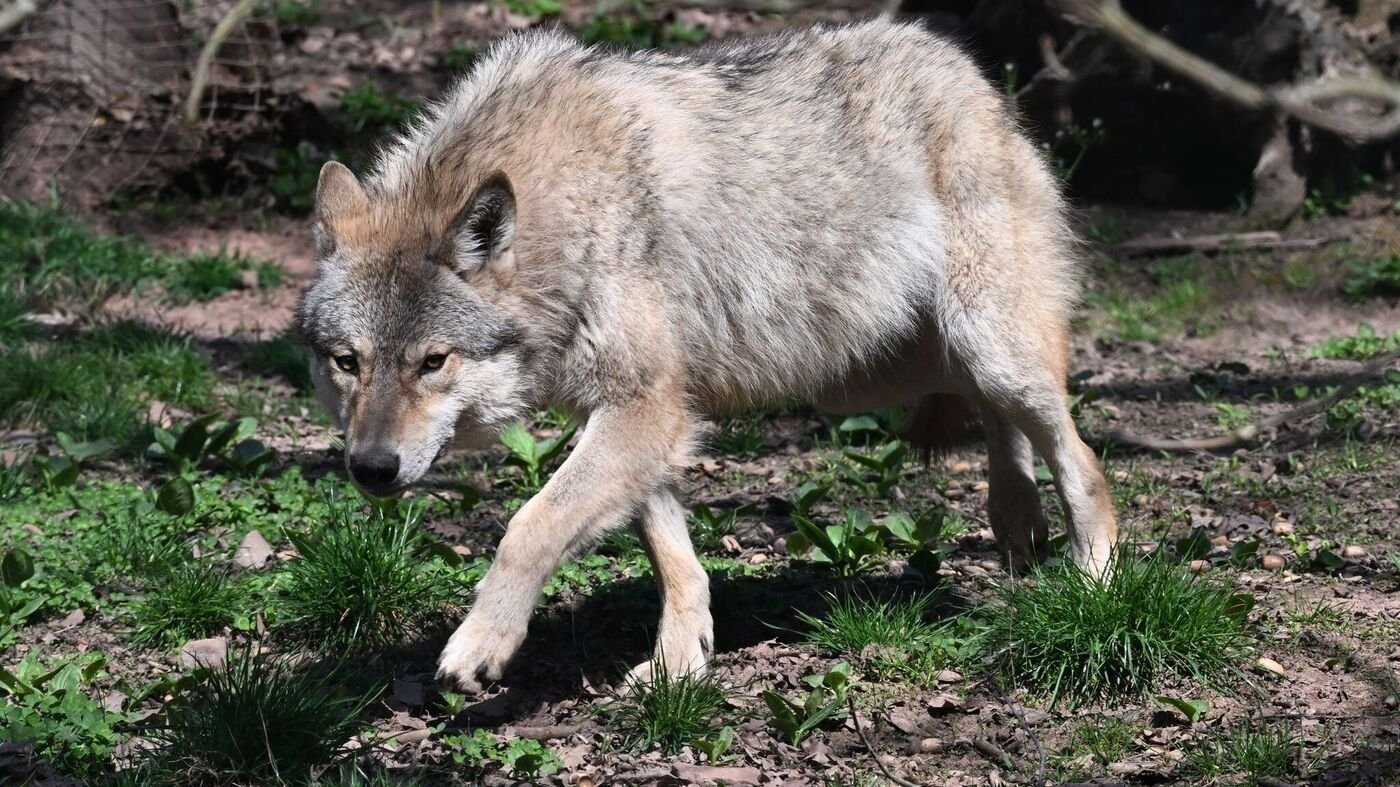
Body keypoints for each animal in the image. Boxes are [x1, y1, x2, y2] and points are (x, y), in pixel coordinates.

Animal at [294, 17, 1118, 692]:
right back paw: (1015, 520)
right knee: (993, 413)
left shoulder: (645, 406)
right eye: (347, 362)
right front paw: (678, 662)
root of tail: (968, 70)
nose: (370, 468)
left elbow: (530, 525)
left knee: (1079, 455)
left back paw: (1095, 583)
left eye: (432, 362)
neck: (569, 213)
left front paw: (481, 643)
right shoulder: (644, 414)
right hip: (871, 372)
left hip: (981, 345)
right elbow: (671, 555)